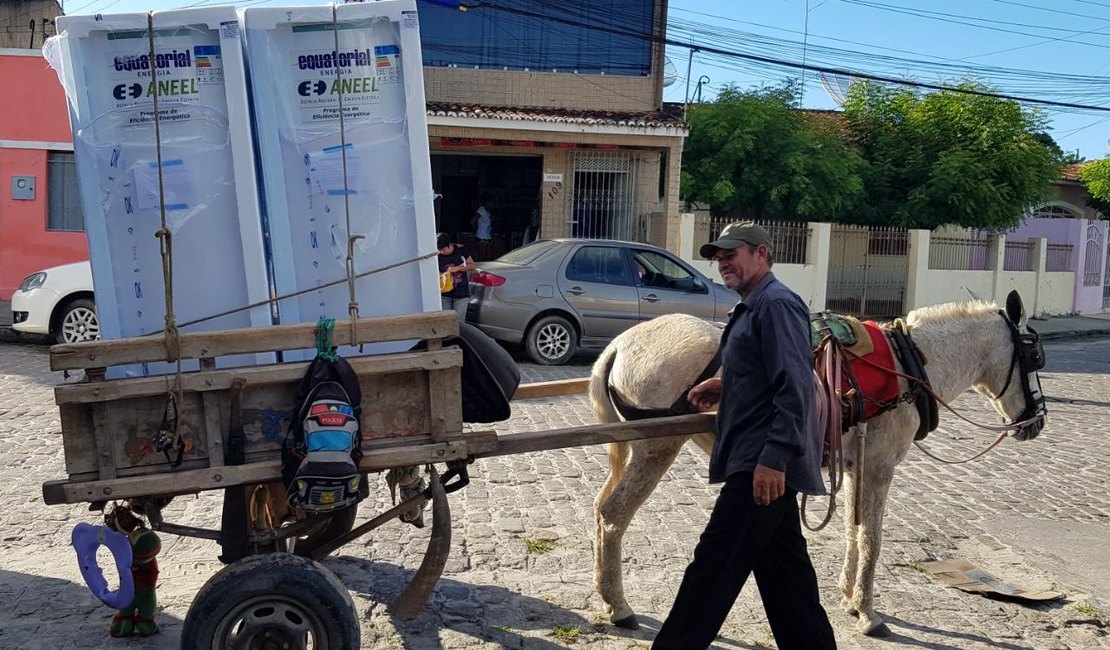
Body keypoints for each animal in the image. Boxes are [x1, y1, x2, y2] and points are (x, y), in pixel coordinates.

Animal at [594, 290, 1043, 634]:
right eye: (1034, 356)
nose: (1037, 421)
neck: (909, 363)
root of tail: (621, 343)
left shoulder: (856, 466)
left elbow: (852, 532)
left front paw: (849, 598)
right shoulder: (880, 469)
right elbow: (872, 538)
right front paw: (868, 613)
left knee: (600, 510)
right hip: (657, 447)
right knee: (613, 515)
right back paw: (619, 605)